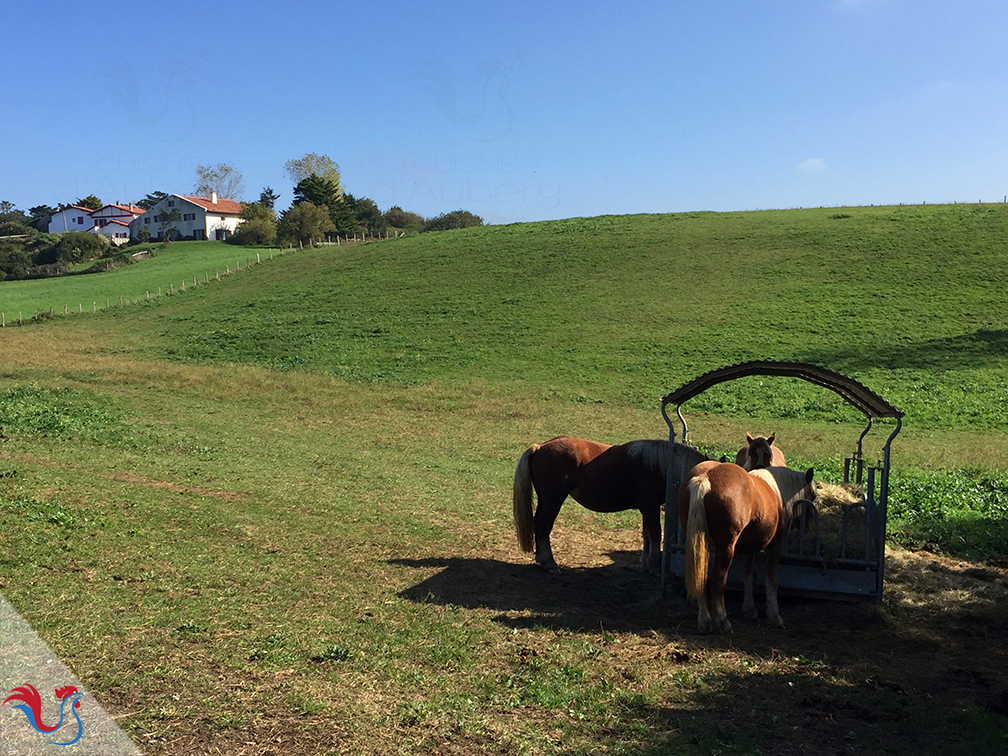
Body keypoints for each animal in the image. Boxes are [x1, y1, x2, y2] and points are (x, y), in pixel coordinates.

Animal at [512, 437, 709, 572]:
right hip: (553, 500)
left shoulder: (646, 509)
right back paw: (549, 562)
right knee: (543, 526)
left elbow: (646, 534)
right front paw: (653, 564)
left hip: (545, 501)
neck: (663, 466)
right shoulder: (651, 507)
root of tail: (540, 447)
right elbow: (655, 534)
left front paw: (646, 563)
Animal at [673, 461, 814, 633]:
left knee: (701, 577)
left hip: (700, 544)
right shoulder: (775, 545)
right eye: (812, 496)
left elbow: (749, 576)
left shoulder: (749, 549)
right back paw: (723, 622)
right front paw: (775, 616)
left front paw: (750, 610)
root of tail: (704, 478)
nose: (808, 528)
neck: (777, 492)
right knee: (718, 580)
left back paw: (705, 621)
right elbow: (772, 579)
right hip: (726, 548)